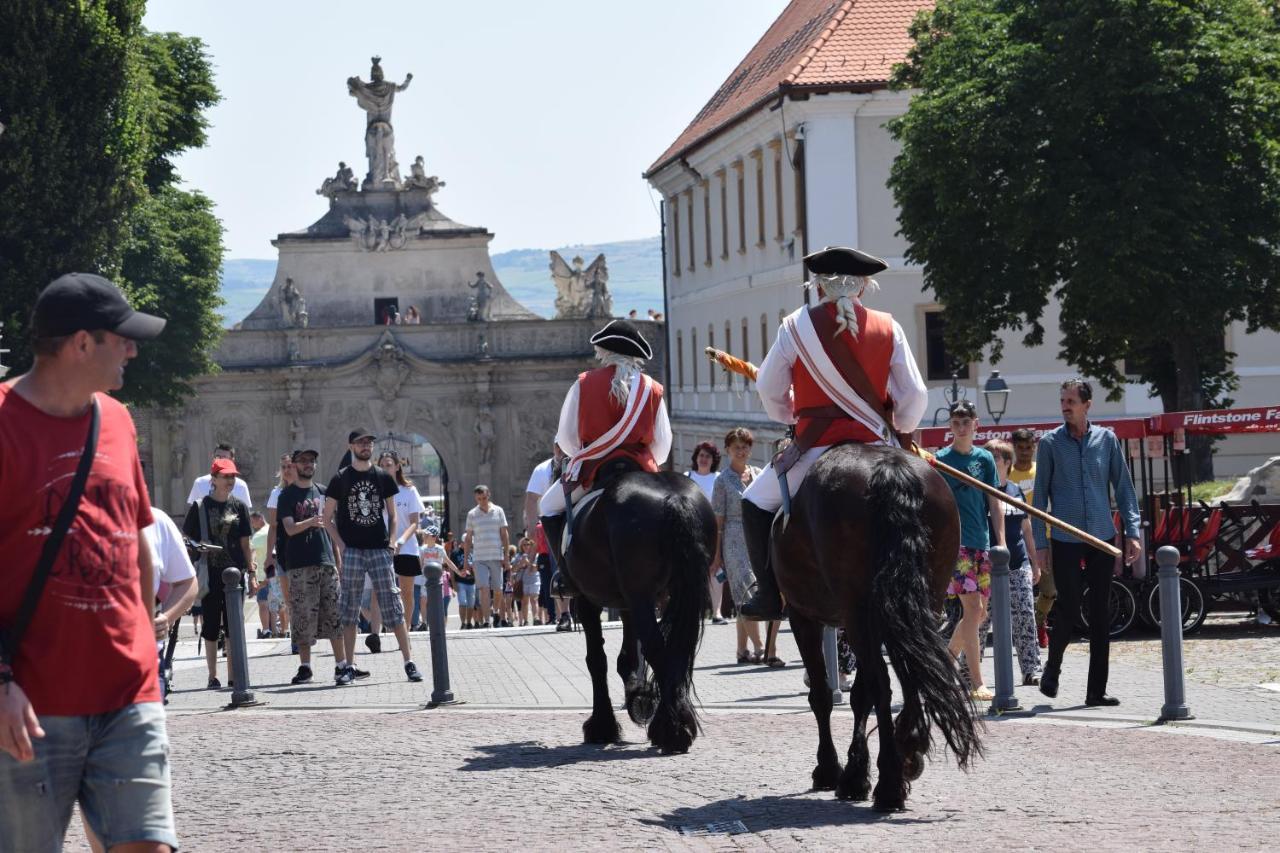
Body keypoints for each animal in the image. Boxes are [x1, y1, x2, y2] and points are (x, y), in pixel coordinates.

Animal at [542, 466, 716, 753]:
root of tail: (673, 497)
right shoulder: (628, 602)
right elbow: (629, 657)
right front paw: (640, 697)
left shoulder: (588, 600)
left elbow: (597, 660)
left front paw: (602, 725)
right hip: (675, 592)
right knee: (676, 649)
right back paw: (674, 722)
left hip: (640, 595)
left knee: (657, 648)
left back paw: (672, 730)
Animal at [768, 440, 977, 809]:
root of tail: (891, 469)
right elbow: (859, 695)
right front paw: (856, 773)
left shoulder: (803, 615)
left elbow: (823, 694)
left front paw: (831, 769)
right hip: (917, 604)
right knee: (912, 674)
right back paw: (907, 748)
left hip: (857, 613)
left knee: (885, 684)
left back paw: (890, 783)